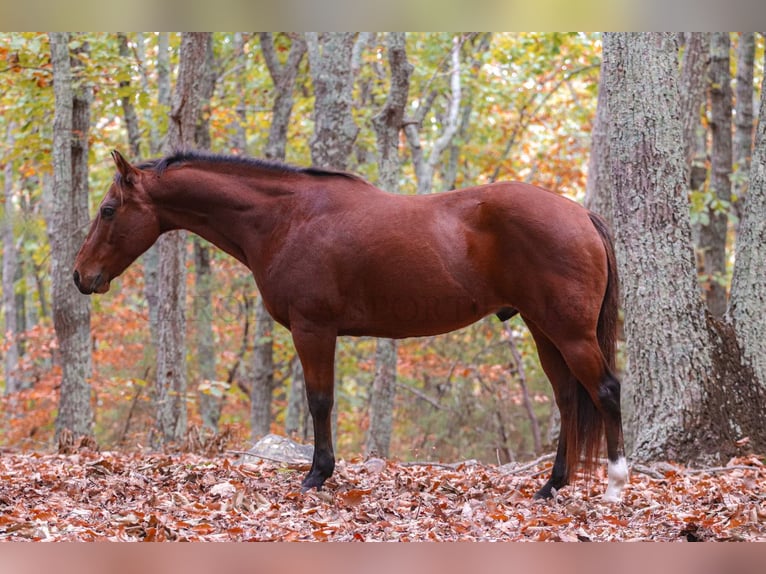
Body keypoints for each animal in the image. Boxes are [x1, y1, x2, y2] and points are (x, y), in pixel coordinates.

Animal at [75, 152, 632, 504]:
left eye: (107, 210)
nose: (82, 276)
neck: (287, 218)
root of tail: (580, 213)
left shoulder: (313, 330)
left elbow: (319, 401)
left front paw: (316, 476)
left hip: (569, 332)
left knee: (605, 390)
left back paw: (615, 485)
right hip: (543, 330)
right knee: (568, 399)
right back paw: (552, 486)